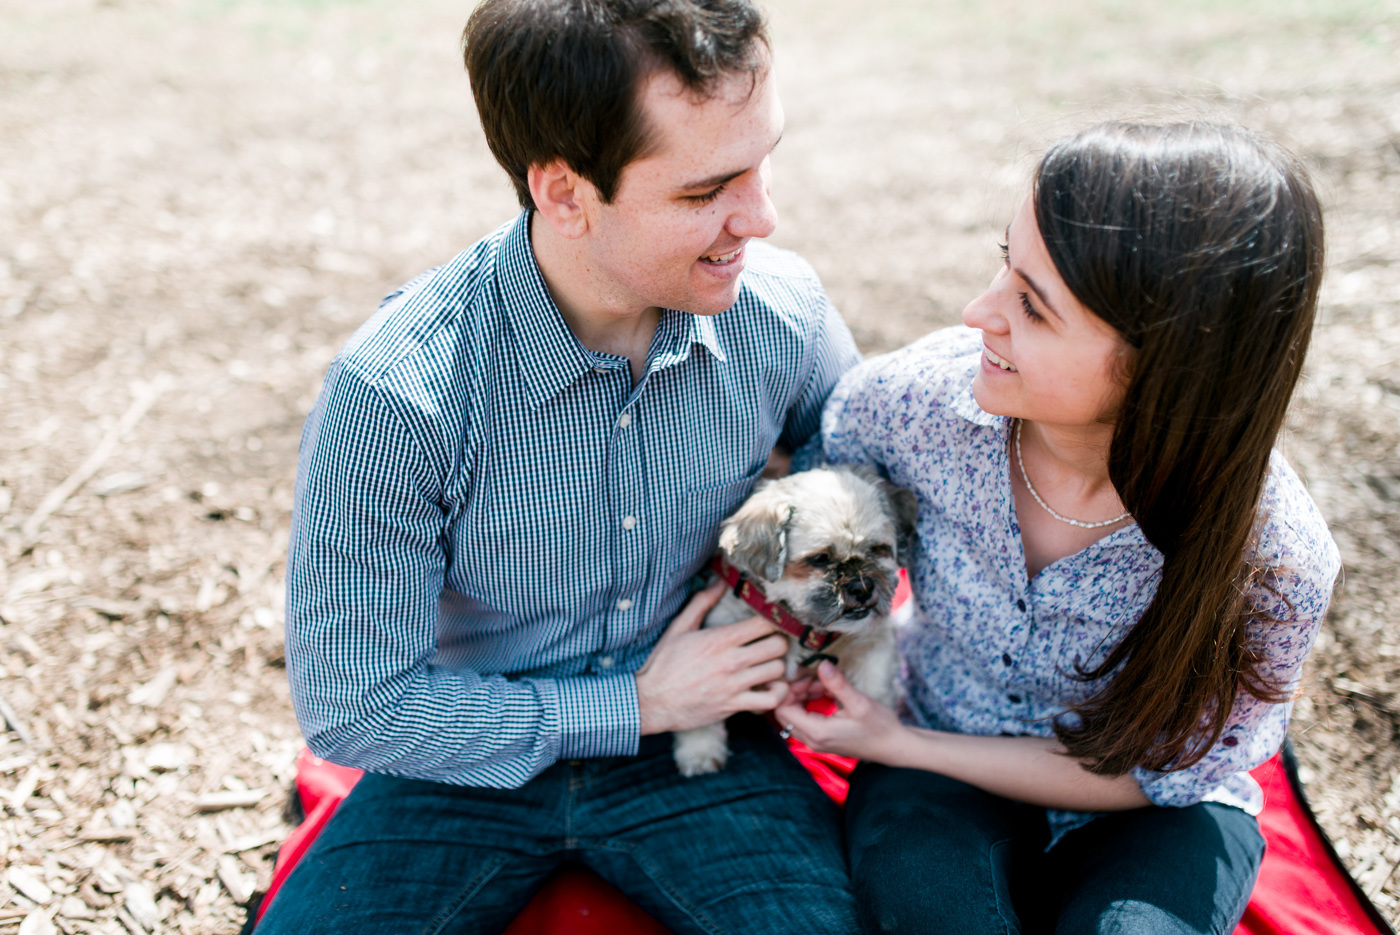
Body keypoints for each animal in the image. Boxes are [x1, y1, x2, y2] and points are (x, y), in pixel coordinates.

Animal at [669, 464, 918, 778]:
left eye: (877, 549)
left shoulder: (875, 640)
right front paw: (699, 750)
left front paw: (875, 731)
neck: (803, 627)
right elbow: (701, 706)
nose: (862, 587)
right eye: (820, 559)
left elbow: (876, 685)